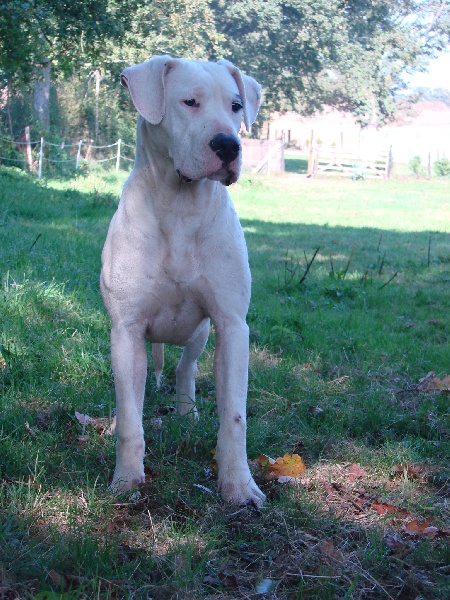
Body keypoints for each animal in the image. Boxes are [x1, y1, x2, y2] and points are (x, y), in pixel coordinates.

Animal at [100, 56, 266, 506]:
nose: (229, 145)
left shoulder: (231, 325)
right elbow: (130, 418)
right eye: (189, 102)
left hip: (200, 334)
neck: (179, 206)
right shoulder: (126, 330)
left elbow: (235, 415)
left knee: (184, 368)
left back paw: (187, 413)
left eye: (236, 105)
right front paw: (126, 480)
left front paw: (239, 485)